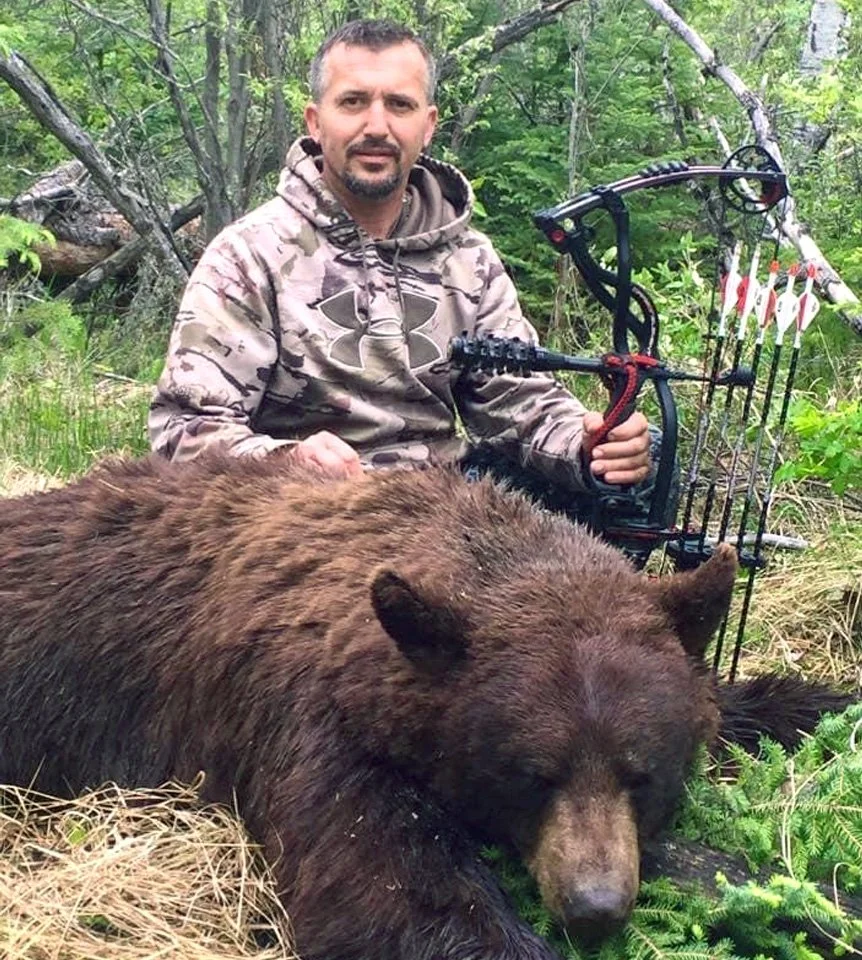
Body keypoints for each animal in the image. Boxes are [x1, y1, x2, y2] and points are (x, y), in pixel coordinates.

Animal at [0, 455, 847, 960]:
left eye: (642, 774)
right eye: (531, 774)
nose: (595, 909)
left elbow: (739, 701)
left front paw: (823, 705)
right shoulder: (312, 725)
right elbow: (398, 901)